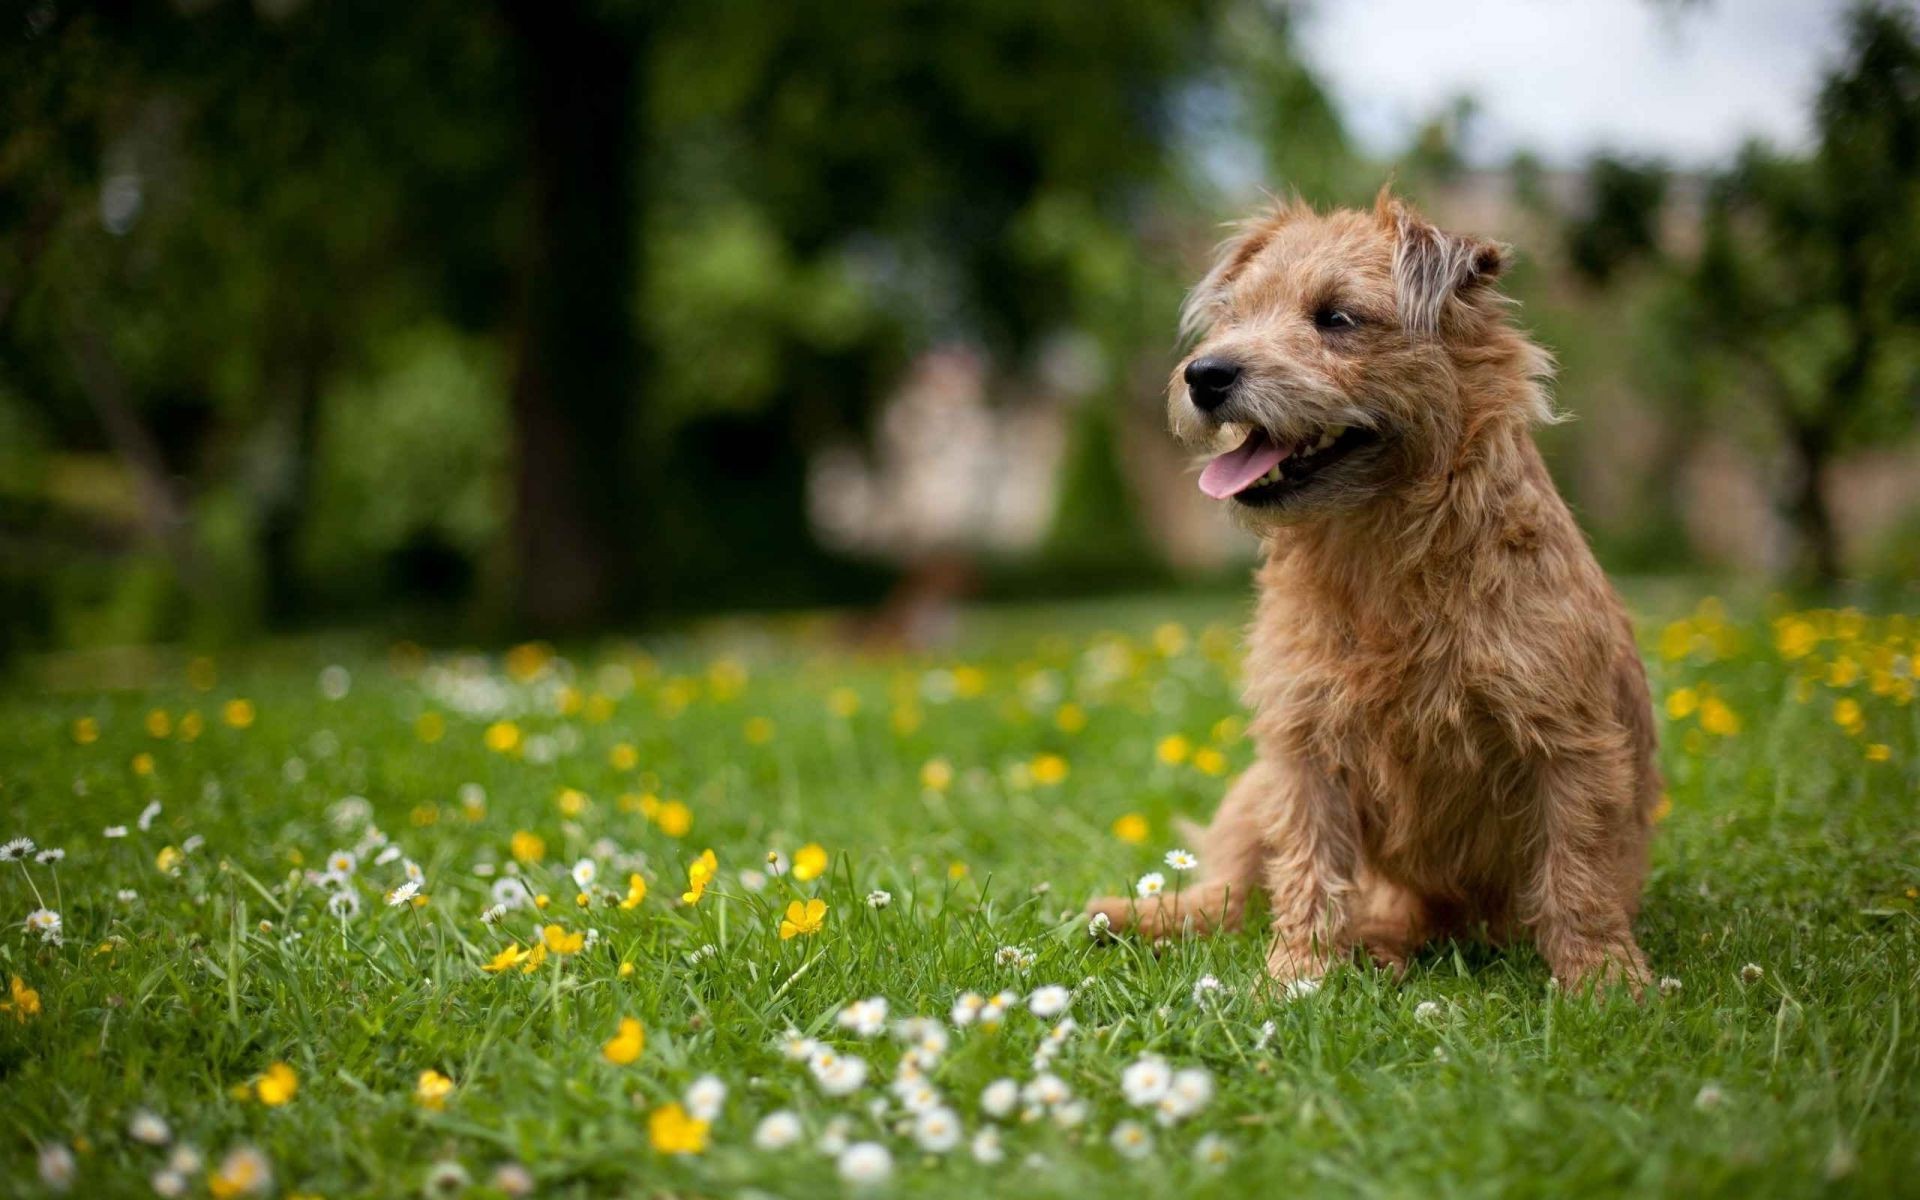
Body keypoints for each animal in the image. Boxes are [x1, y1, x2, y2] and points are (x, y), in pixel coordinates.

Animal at [1098, 189, 1666, 990]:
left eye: (1336, 318)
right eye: (1234, 316)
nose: (1205, 374)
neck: (1380, 559)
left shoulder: (1569, 743)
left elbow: (1577, 868)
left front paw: (1604, 978)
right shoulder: (1304, 747)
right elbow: (1307, 868)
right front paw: (1296, 974)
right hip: (1252, 788)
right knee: (1228, 892)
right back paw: (1130, 917)